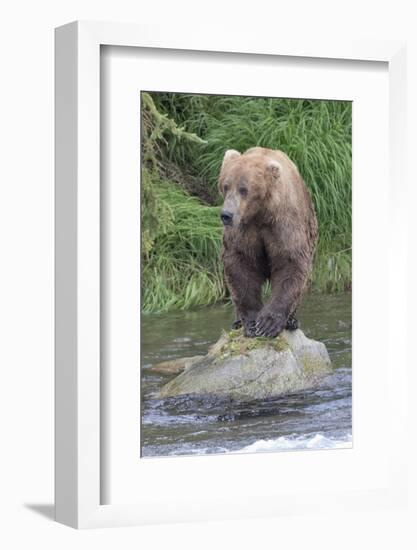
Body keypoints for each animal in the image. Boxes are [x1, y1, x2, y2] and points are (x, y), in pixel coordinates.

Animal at [216, 147, 316, 338]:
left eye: (243, 189)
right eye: (225, 185)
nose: (226, 215)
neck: (260, 213)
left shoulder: (283, 224)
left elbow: (290, 263)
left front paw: (267, 324)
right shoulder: (243, 231)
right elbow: (240, 265)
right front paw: (251, 323)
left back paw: (292, 321)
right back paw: (237, 322)